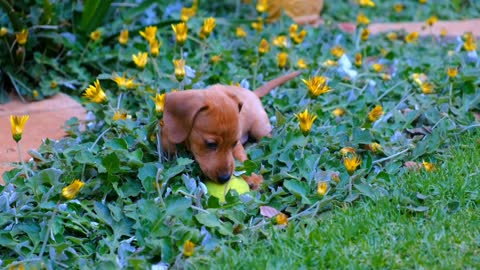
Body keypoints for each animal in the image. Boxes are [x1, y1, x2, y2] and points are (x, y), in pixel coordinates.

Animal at [163, 71, 302, 190]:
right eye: (211, 144)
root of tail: (252, 93)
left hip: (260, 129)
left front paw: (252, 177)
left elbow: (242, 158)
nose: (225, 178)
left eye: (234, 143)